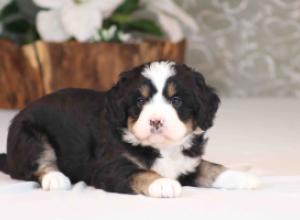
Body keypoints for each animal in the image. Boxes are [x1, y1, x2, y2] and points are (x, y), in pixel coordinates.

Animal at [0, 60, 260, 198]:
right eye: (140, 101)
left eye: (176, 101)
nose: (156, 121)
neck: (163, 149)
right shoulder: (110, 167)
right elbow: (140, 172)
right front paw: (162, 183)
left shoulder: (188, 164)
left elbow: (211, 167)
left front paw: (244, 177)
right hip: (29, 135)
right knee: (38, 162)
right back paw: (55, 178)